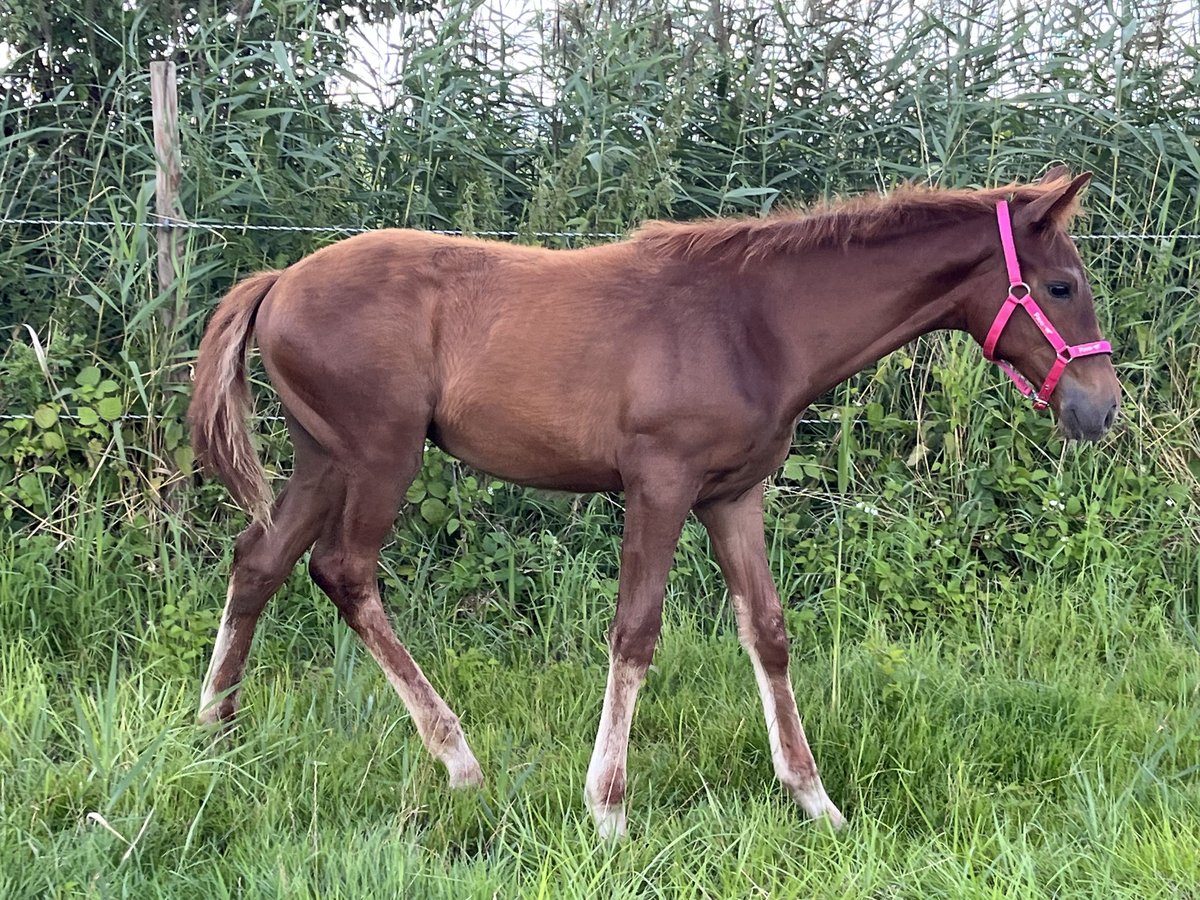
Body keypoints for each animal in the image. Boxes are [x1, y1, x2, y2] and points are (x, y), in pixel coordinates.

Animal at [187, 168, 1113, 840]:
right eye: (1062, 287)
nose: (1099, 409)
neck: (754, 321)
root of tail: (278, 279)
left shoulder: (733, 498)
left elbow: (767, 632)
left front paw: (815, 802)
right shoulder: (659, 485)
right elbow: (635, 634)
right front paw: (608, 810)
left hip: (325, 459)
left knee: (259, 560)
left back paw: (217, 732)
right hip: (380, 454)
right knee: (343, 572)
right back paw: (460, 763)